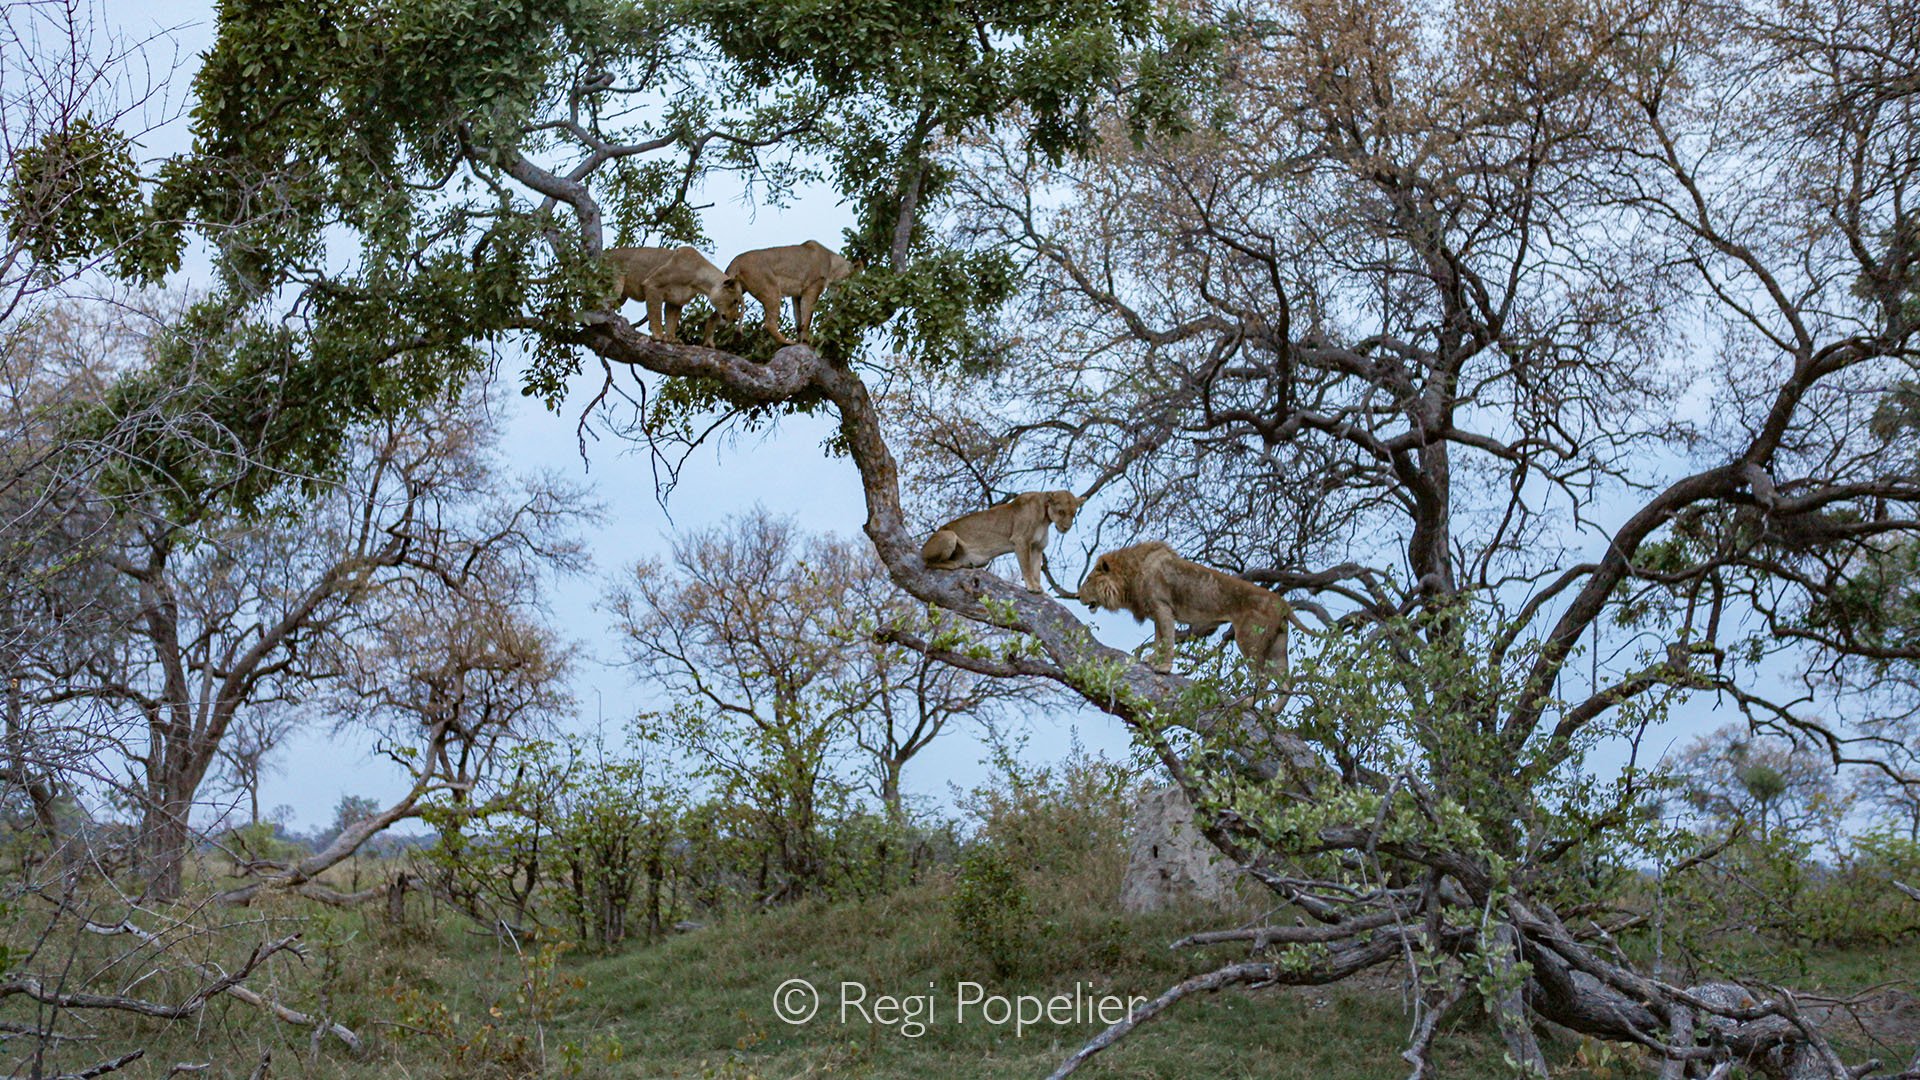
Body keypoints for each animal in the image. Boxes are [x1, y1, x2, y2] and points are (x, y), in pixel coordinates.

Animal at [606, 245, 743, 346]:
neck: (699, 281)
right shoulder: (653, 285)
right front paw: (658, 336)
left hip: (622, 297)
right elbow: (655, 314)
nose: (735, 318)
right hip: (616, 283)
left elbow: (671, 321)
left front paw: (671, 338)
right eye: (735, 301)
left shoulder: (676, 301)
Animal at [724, 240, 857, 345]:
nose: (846, 295)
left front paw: (801, 339)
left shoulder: (797, 295)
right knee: (769, 324)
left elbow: (799, 320)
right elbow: (807, 318)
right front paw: (806, 342)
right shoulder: (812, 288)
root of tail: (736, 261)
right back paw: (787, 342)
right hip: (771, 289)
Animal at [921, 490, 1084, 593]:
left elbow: (1036, 570)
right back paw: (952, 564)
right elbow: (1027, 567)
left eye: (1074, 513)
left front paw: (1039, 588)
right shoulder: (1021, 541)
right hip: (948, 535)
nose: (1066, 527)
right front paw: (1031, 587)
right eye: (1061, 512)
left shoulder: (1037, 548)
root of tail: (923, 547)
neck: (1045, 519)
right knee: (927, 563)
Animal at [1077, 541, 1305, 682]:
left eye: (1088, 580)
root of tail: (1282, 602)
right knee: (1286, 682)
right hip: (1277, 643)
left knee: (1263, 677)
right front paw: (1153, 659)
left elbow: (1167, 640)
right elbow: (1159, 639)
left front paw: (1164, 667)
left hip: (1250, 639)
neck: (1130, 577)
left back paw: (1248, 704)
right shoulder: (1157, 612)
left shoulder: (1163, 607)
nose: (1078, 597)